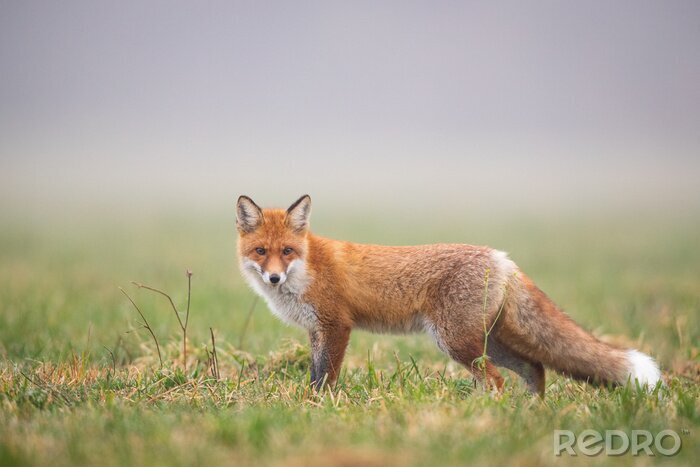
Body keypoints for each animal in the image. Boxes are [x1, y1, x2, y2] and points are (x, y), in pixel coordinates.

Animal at [236, 194, 661, 396]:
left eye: (286, 251)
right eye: (261, 251)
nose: (273, 277)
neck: (307, 267)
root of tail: (501, 257)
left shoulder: (337, 326)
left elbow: (326, 378)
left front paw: (321, 407)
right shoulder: (315, 331)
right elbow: (313, 374)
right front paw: (308, 404)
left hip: (455, 341)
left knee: (498, 380)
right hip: (483, 340)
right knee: (534, 369)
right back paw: (529, 413)